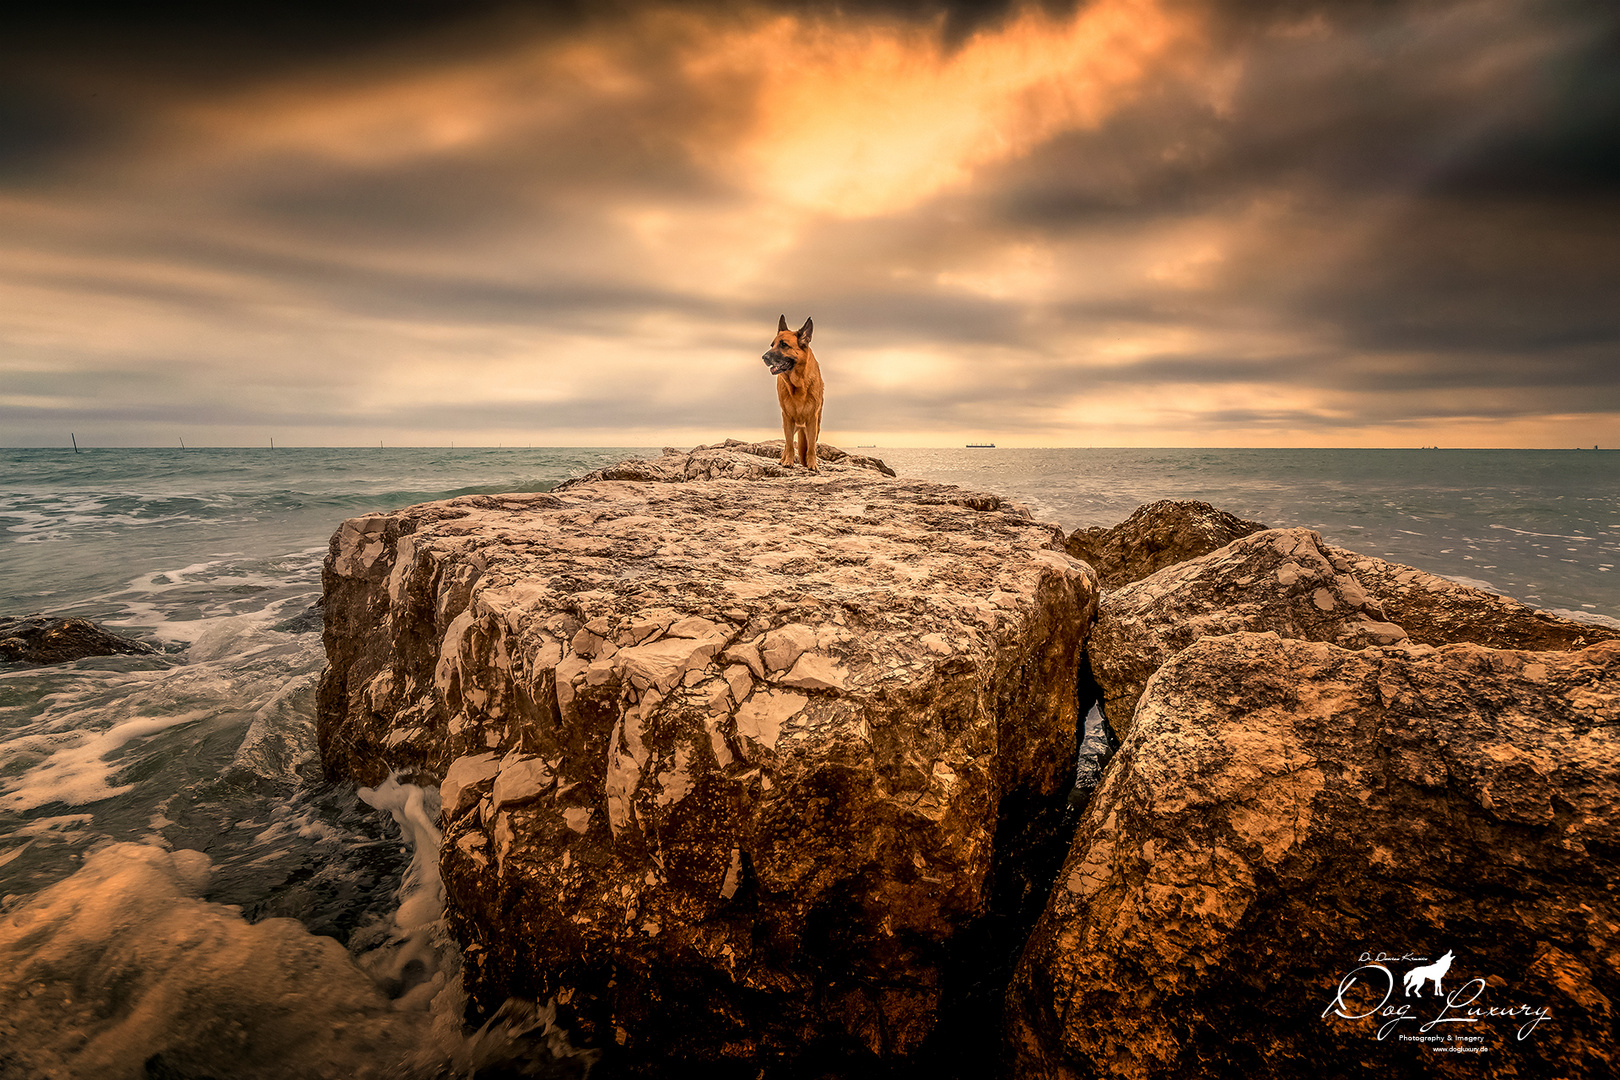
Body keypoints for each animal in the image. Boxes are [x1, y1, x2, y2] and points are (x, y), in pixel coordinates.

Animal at [764, 314, 829, 469]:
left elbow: (811, 447)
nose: (764, 357)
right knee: (787, 443)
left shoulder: (812, 421)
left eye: (784, 345)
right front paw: (788, 461)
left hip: (815, 427)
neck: (799, 384)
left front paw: (812, 465)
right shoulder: (787, 418)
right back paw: (783, 459)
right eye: (772, 345)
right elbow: (789, 444)